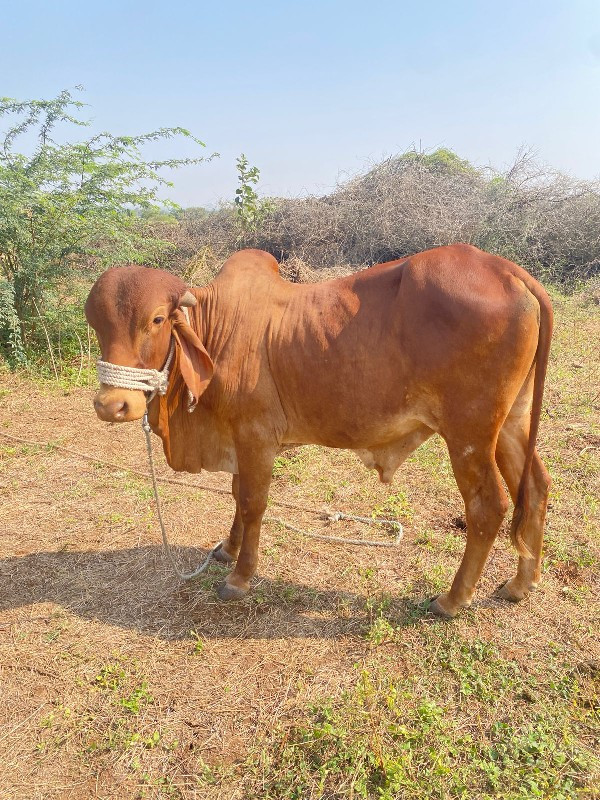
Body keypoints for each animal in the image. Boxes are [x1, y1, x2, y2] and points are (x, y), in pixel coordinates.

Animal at [84, 244, 552, 620]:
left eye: (157, 319)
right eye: (95, 324)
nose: (113, 405)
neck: (216, 331)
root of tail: (508, 270)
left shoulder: (256, 436)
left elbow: (252, 503)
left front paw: (239, 577)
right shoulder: (239, 438)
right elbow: (236, 494)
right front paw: (227, 550)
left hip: (468, 433)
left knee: (488, 506)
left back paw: (452, 600)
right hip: (510, 423)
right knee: (536, 486)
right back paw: (520, 585)